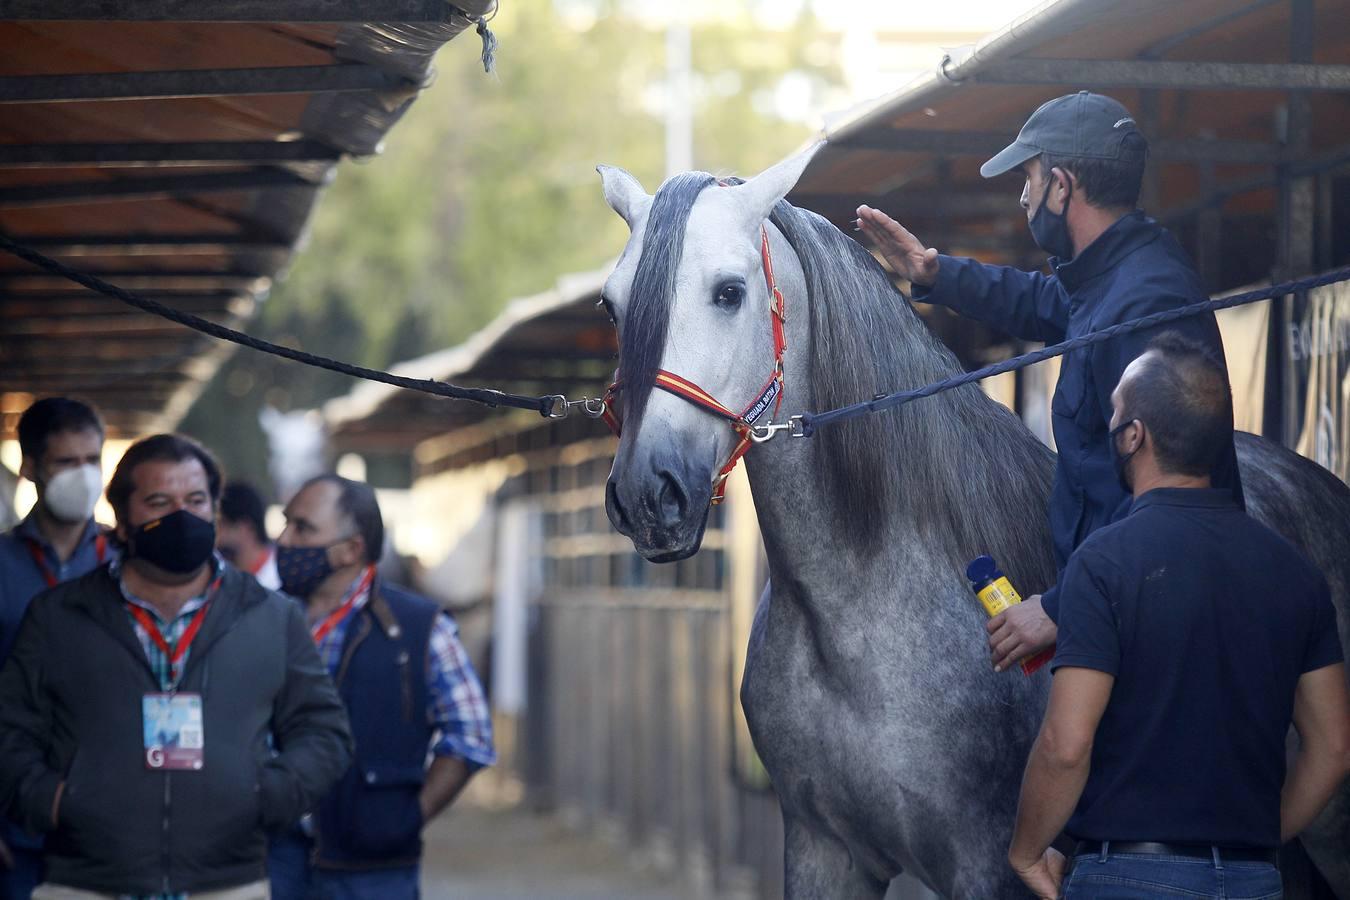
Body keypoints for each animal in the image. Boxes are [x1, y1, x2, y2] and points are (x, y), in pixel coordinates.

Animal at [602, 149, 1350, 900]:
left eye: (729, 292)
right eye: (612, 304)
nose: (648, 494)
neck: (854, 616)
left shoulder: (987, 866)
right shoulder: (823, 852)